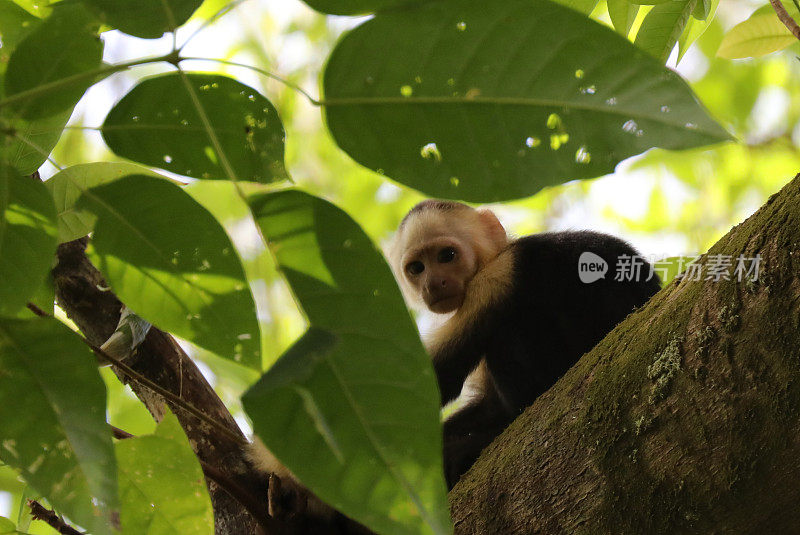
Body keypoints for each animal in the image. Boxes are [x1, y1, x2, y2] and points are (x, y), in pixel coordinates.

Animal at [390, 199, 664, 488]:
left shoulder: (498, 276)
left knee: (507, 331)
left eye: (447, 255)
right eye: (417, 268)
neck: (493, 257)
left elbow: (441, 378)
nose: (433, 284)